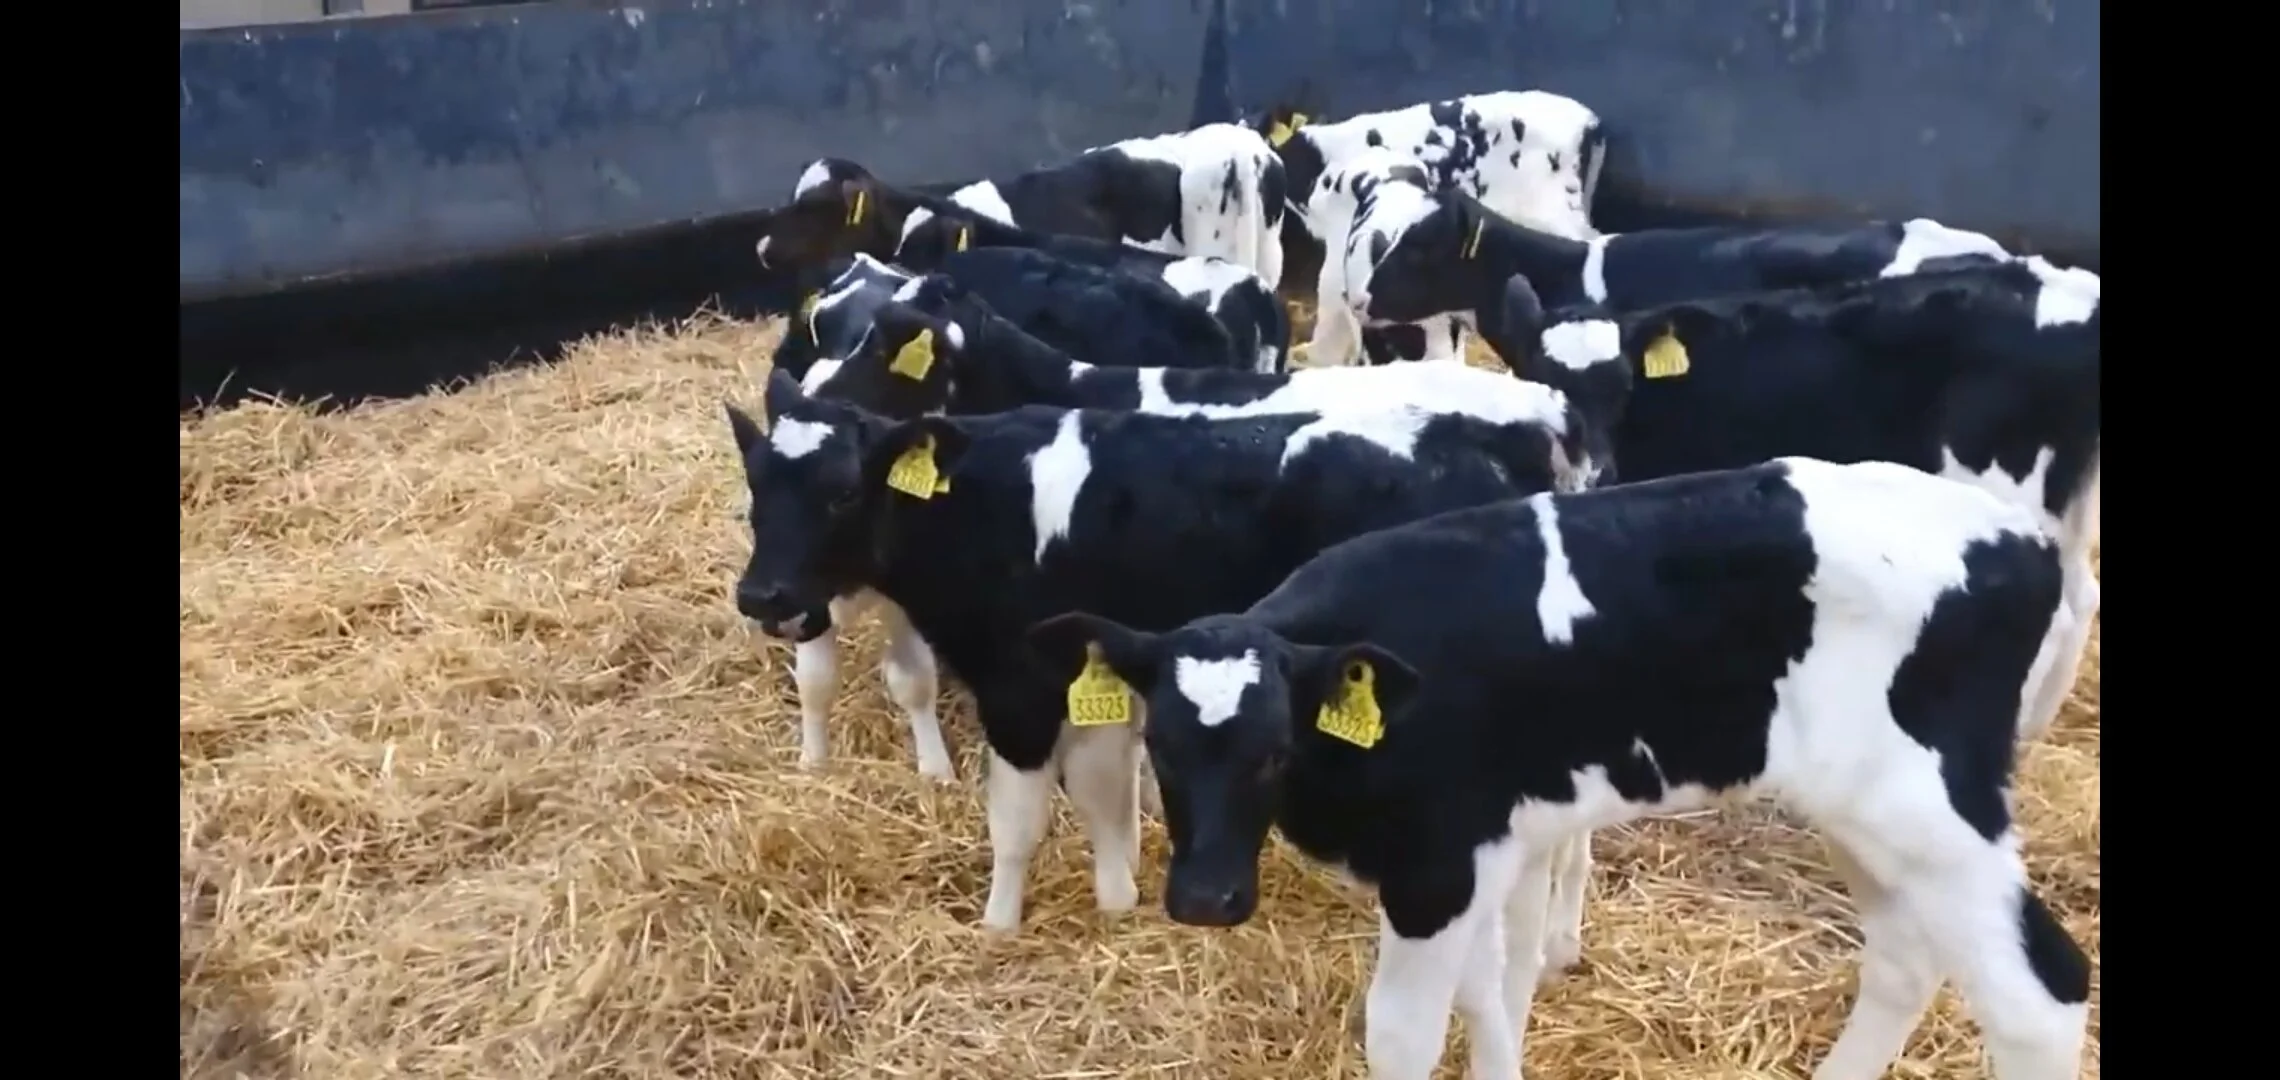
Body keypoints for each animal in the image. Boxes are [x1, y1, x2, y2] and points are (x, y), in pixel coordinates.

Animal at [725, 369, 1592, 932]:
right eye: (755, 487)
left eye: (842, 491)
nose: (762, 596)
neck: (984, 499)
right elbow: (1104, 792)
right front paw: (1121, 894)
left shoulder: (1020, 689)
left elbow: (1018, 820)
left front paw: (999, 923)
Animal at [1028, 457, 2091, 1080]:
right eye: (1161, 747)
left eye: (1274, 750)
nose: (1205, 898)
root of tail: (2026, 540)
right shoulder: (1488, 852)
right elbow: (1491, 993)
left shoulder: (1436, 869)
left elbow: (1405, 1031)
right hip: (1868, 817)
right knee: (1909, 956)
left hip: (1932, 809)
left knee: (2042, 994)